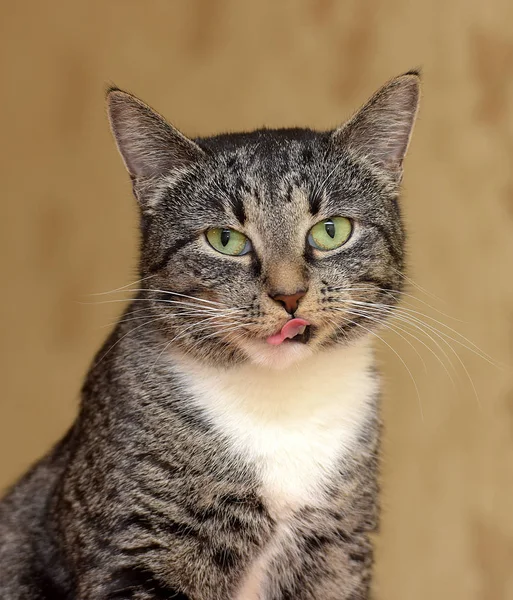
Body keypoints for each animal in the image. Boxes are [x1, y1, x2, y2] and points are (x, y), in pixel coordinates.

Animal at [0, 71, 418, 600]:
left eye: (331, 231)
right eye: (225, 240)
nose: (288, 295)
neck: (281, 407)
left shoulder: (338, 550)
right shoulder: (140, 547)